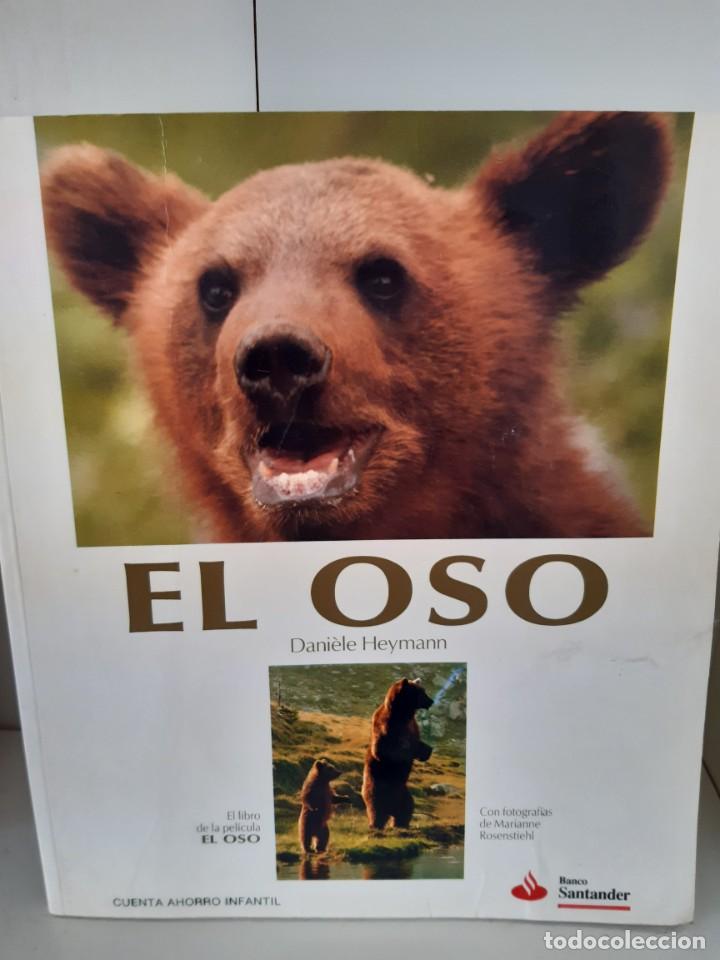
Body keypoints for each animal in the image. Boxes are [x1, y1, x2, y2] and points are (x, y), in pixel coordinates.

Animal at [361, 678, 434, 830]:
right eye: (421, 692)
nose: (431, 701)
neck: (402, 714)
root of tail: (391, 809)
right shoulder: (387, 727)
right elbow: (385, 750)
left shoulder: (412, 726)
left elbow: (417, 741)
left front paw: (426, 750)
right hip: (376, 789)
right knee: (376, 810)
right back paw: (375, 825)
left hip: (404, 794)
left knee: (407, 809)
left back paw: (401, 824)